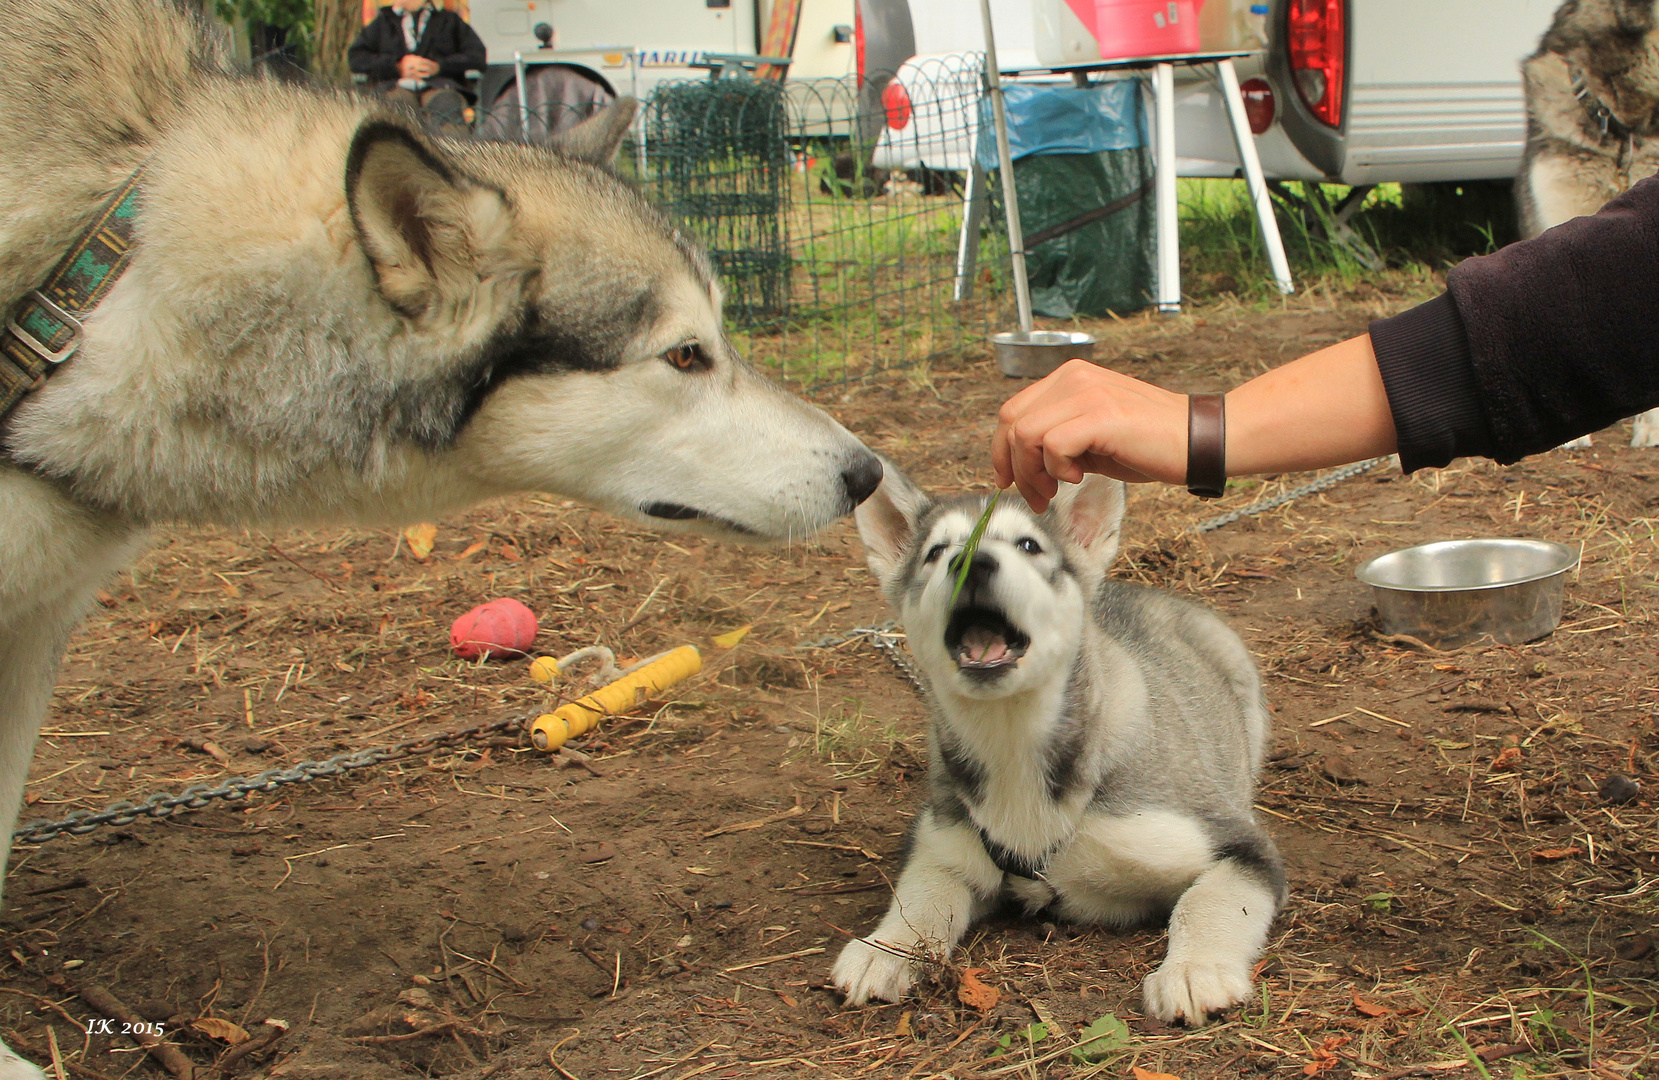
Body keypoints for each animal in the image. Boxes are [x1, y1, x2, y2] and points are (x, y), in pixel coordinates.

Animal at [836, 467, 1287, 1028]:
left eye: (1029, 545)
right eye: (937, 551)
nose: (972, 562)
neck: (1013, 736)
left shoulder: (1234, 842)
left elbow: (1211, 900)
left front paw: (1194, 968)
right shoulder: (945, 840)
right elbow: (922, 892)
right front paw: (887, 947)